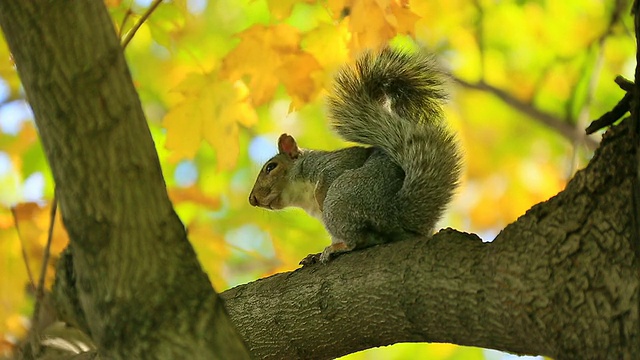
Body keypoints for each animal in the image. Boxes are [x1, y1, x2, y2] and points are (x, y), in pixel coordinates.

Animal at [248, 46, 462, 266]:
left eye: (271, 167)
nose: (252, 199)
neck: (302, 196)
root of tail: (393, 213)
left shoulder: (333, 165)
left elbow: (329, 178)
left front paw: (319, 199)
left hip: (340, 199)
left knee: (356, 239)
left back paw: (337, 248)